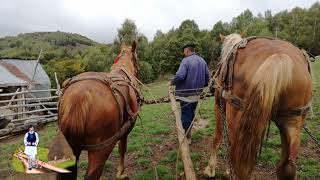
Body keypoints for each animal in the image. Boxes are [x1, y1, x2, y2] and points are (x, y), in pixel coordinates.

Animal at [204, 34, 312, 180]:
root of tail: (279, 56)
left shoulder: (219, 106)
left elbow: (217, 137)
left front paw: (211, 170)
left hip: (236, 114)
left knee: (235, 151)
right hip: (293, 121)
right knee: (288, 167)